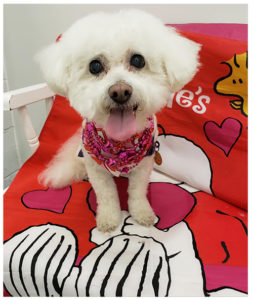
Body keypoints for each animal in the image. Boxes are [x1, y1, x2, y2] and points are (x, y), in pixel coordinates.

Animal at [36, 9, 201, 232]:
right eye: (95, 66)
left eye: (138, 60)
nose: (120, 91)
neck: (120, 144)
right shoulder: (96, 168)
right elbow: (106, 195)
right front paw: (108, 218)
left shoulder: (144, 165)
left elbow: (138, 193)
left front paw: (142, 213)